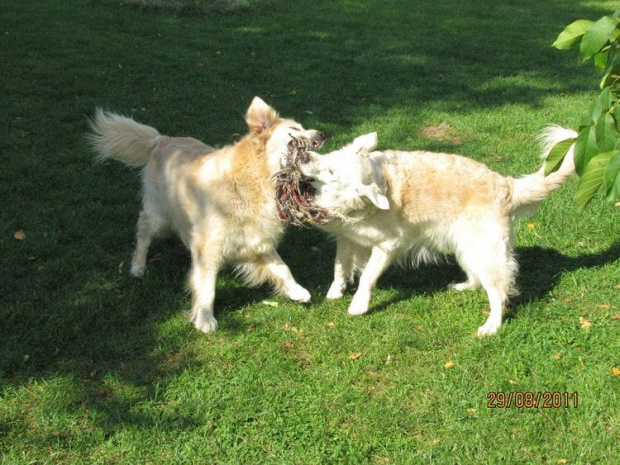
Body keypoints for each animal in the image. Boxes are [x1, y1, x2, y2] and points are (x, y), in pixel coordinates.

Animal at [91, 96, 326, 332]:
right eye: (295, 129)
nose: (323, 134)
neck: (256, 179)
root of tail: (161, 140)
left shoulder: (257, 240)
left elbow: (283, 268)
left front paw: (296, 290)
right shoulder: (209, 247)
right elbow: (207, 286)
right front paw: (204, 318)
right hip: (157, 215)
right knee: (143, 236)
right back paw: (138, 267)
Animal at [300, 128, 576, 334]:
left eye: (331, 171)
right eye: (329, 158)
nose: (304, 157)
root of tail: (506, 185)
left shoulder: (388, 245)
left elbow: (367, 276)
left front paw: (358, 305)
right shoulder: (347, 238)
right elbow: (339, 267)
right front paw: (335, 292)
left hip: (485, 253)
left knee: (499, 293)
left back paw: (491, 326)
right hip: (466, 248)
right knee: (478, 279)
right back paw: (463, 286)